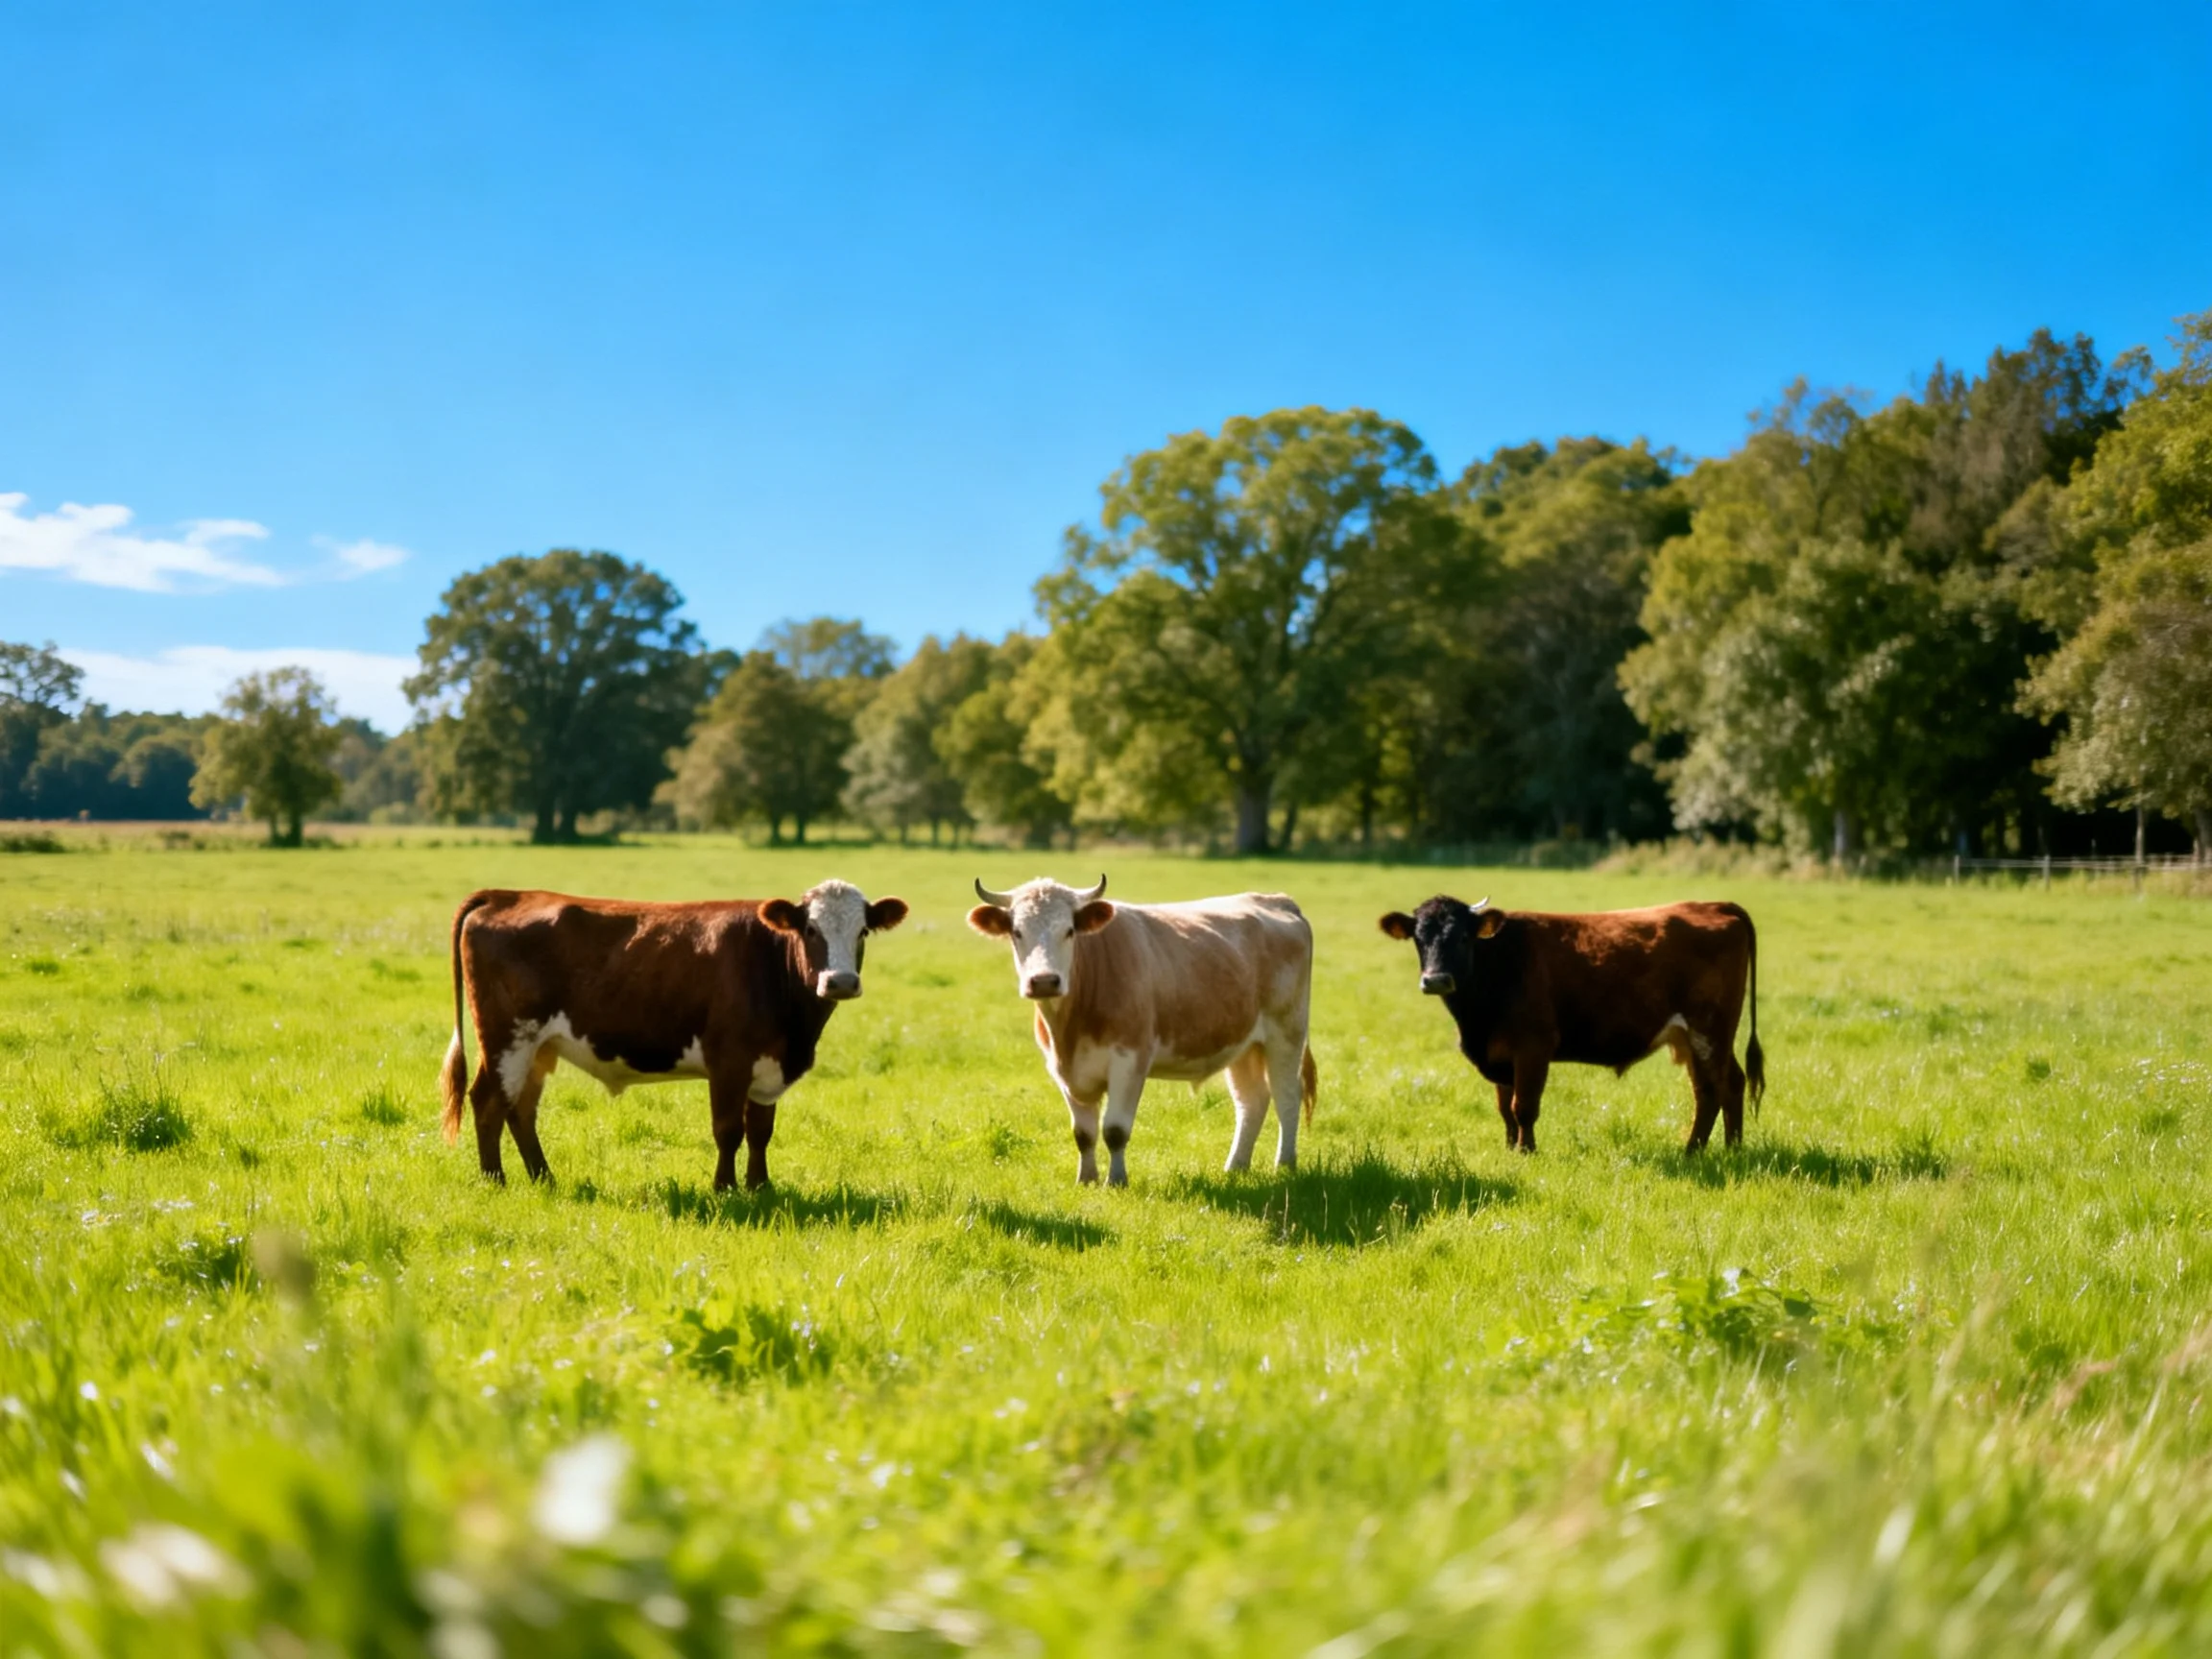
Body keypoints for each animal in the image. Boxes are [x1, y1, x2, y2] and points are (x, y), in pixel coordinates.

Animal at [438, 880, 908, 1189]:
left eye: (863, 931)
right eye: (811, 930)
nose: (840, 982)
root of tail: (509, 894)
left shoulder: (767, 1066)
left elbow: (760, 1130)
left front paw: (760, 1187)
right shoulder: (728, 1061)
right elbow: (728, 1130)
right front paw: (725, 1189)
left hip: (538, 1048)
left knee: (520, 1110)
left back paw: (543, 1179)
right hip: (508, 1038)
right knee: (488, 1102)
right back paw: (495, 1181)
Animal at [967, 875, 1317, 1185]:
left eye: (1069, 931)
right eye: (1017, 931)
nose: (1043, 981)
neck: (1070, 1030)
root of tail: (1277, 900)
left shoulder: (1130, 1060)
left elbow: (1115, 1130)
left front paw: (1117, 1180)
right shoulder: (1063, 1070)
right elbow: (1083, 1134)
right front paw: (1087, 1179)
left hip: (1286, 1032)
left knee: (1287, 1095)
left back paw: (1285, 1164)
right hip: (1243, 1043)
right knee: (1251, 1101)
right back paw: (1235, 1167)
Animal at [1377, 895, 1763, 1154]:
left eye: (1462, 937)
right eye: (1419, 938)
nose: (1436, 980)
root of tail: (1713, 904)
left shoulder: (1533, 1046)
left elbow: (1523, 1106)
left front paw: (1527, 1151)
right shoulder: (1499, 1053)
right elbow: (1505, 1108)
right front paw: (1510, 1149)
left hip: (1709, 1030)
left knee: (1720, 1086)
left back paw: (1708, 1150)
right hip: (1693, 1037)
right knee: (1719, 1086)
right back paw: (1717, 1149)